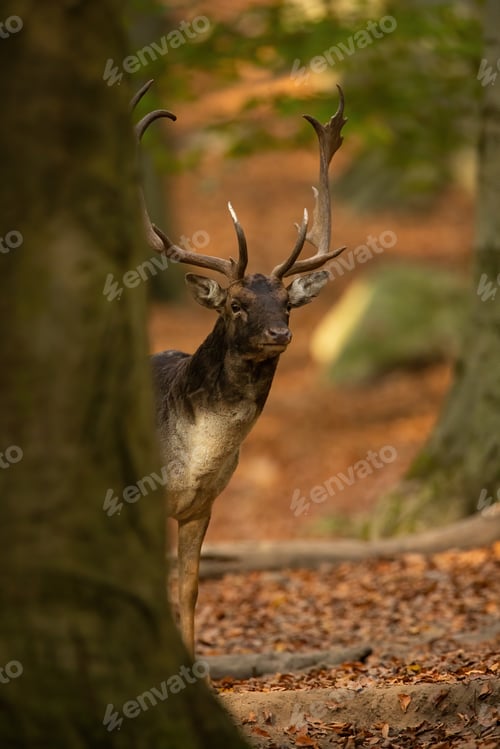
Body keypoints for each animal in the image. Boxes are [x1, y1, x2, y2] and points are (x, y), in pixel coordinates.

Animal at [133, 80, 347, 658]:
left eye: (289, 304)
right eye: (234, 304)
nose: (280, 334)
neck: (194, 458)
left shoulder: (201, 505)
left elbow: (188, 589)